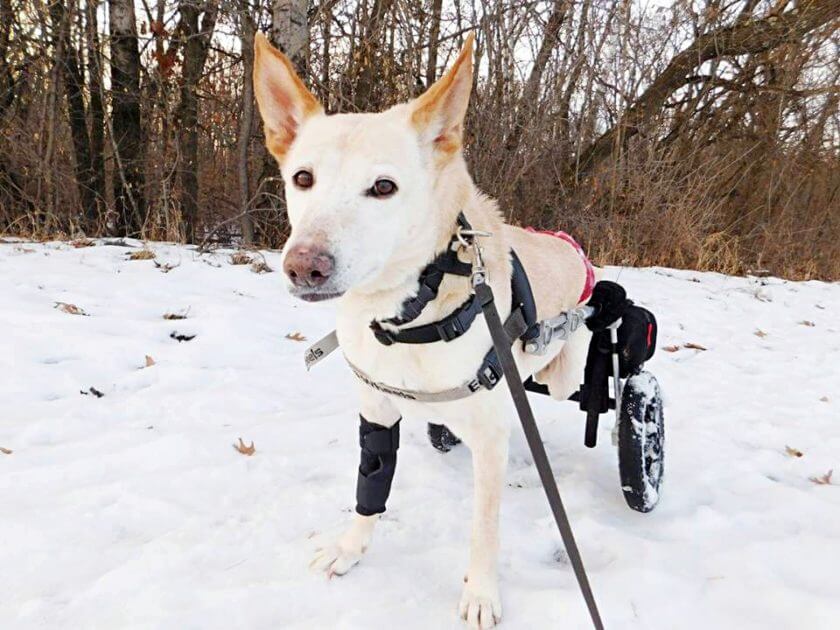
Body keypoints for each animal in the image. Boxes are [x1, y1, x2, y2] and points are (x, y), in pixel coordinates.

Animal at [253, 32, 592, 628]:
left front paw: (481, 593)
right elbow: (370, 485)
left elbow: (484, 529)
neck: (407, 316)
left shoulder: (489, 441)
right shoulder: (376, 409)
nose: (304, 267)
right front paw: (351, 549)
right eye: (302, 178)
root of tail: (566, 244)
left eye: (383, 187)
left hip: (562, 374)